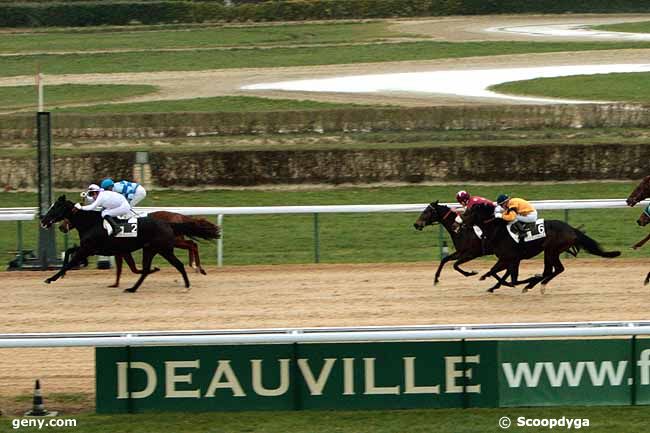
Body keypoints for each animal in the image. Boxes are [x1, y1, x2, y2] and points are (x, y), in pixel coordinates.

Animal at [58, 210, 215, 286]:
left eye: (68, 217)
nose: (61, 227)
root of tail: (178, 216)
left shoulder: (117, 249)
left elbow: (123, 267)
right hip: (173, 241)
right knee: (192, 244)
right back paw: (196, 267)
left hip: (173, 241)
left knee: (192, 244)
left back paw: (197, 267)